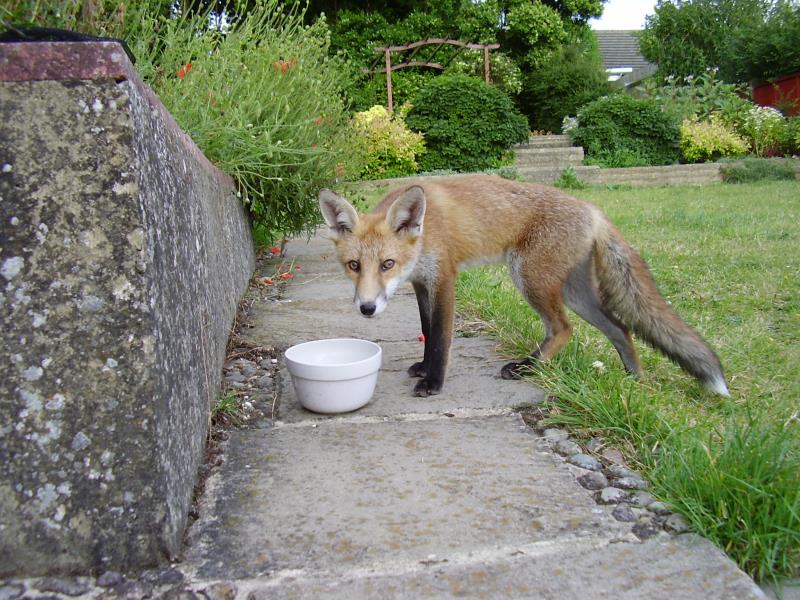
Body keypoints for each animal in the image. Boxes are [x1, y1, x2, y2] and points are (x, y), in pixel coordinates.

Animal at [316, 173, 728, 398]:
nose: (367, 308)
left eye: (387, 264)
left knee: (564, 329)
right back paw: (633, 380)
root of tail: (593, 210)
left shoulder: (444, 278)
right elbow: (427, 331)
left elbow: (441, 338)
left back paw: (527, 367)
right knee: (621, 328)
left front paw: (434, 381)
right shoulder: (421, 283)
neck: (426, 230)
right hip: (577, 294)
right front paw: (423, 367)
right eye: (354, 266)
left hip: (530, 279)